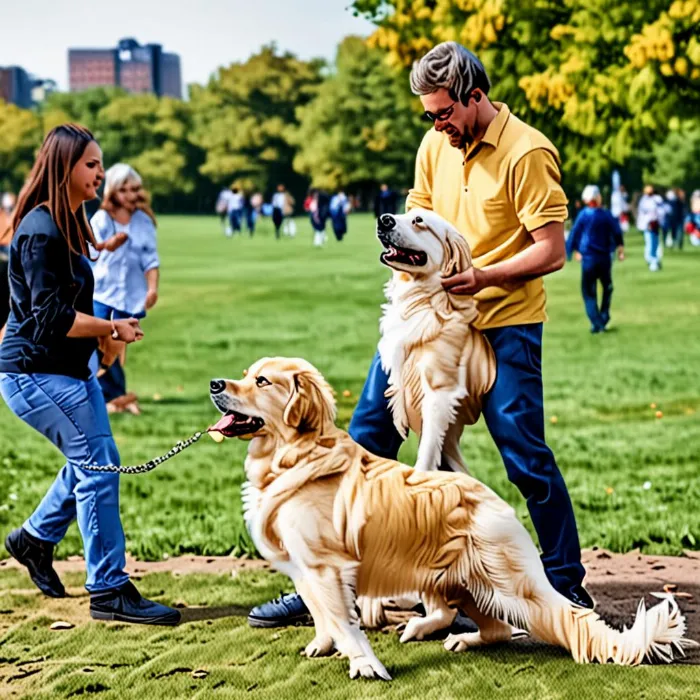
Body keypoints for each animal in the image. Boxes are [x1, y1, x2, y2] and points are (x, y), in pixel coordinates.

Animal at [208, 356, 696, 680]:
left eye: (261, 381)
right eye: (246, 374)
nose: (214, 383)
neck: (294, 455)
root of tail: (496, 501)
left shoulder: (326, 568)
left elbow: (345, 623)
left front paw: (365, 665)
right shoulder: (305, 571)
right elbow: (323, 618)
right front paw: (322, 646)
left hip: (503, 586)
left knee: (554, 622)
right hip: (455, 582)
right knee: (487, 627)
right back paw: (443, 634)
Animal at [378, 208, 492, 470]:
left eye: (419, 221)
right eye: (407, 213)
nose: (383, 219)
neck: (422, 299)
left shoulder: (439, 392)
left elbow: (426, 454)